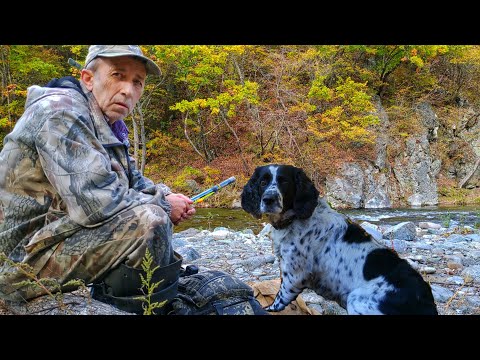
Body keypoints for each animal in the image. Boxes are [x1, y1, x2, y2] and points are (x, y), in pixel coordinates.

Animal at [242, 165, 436, 314]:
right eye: (263, 182)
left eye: (284, 182)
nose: (268, 199)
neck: (294, 219)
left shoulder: (294, 274)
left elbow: (280, 298)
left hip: (356, 300)